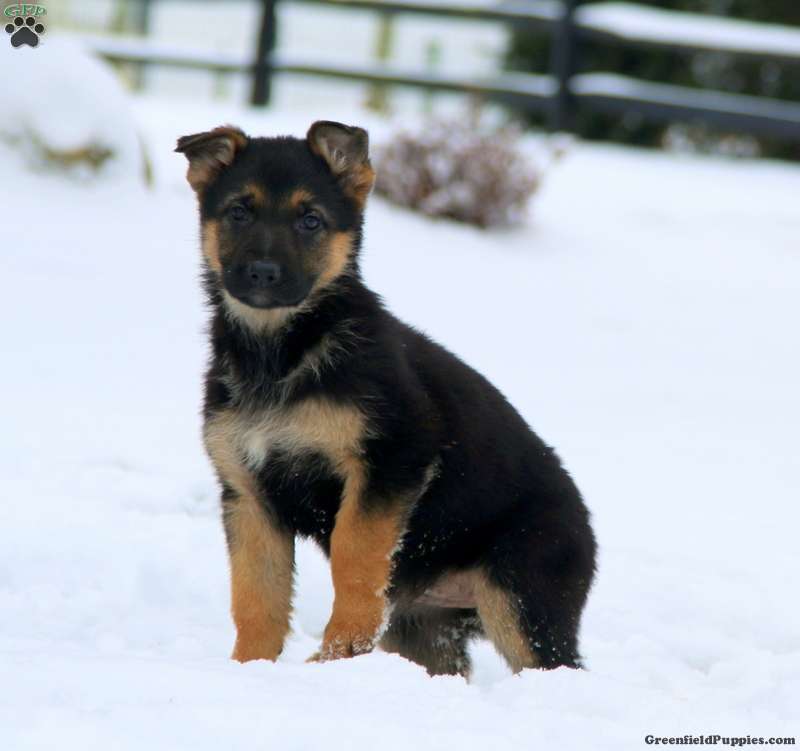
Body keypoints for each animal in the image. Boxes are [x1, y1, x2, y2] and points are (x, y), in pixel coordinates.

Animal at [177, 122, 600, 676]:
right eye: (238, 212)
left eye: (310, 220)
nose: (263, 273)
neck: (283, 353)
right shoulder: (248, 495)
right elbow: (256, 596)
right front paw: (250, 669)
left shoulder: (392, 460)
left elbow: (353, 554)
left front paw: (337, 654)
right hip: (425, 630)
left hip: (523, 600)